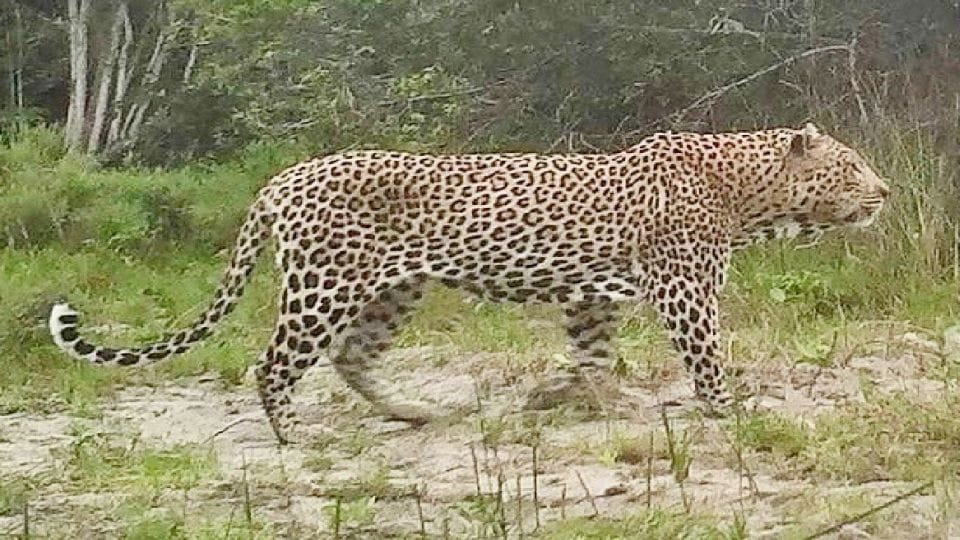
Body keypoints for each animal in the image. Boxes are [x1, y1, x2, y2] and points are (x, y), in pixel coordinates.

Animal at [49, 122, 890, 444]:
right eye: (850, 166)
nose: (884, 193)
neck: (751, 195)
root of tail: (280, 180)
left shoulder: (591, 298)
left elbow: (592, 358)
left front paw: (564, 398)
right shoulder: (684, 288)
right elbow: (708, 353)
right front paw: (727, 408)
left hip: (392, 291)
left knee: (353, 356)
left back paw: (413, 411)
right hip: (324, 285)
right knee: (274, 362)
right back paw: (294, 434)